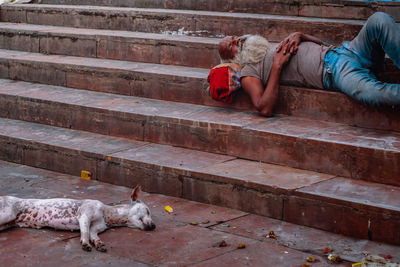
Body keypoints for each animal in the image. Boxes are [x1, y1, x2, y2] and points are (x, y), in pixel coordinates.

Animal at [0, 185, 155, 252]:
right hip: (7, 214)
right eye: (148, 210)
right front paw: (85, 243)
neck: (107, 214)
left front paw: (98, 243)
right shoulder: (84, 216)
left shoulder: (96, 228)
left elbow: (93, 235)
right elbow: (85, 232)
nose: (154, 226)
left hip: (7, 222)